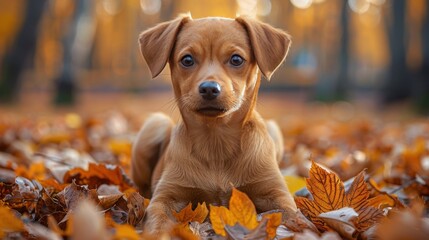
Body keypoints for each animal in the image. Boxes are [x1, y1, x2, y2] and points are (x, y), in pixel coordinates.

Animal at [131, 14, 314, 233]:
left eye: (236, 59)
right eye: (187, 60)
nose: (210, 88)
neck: (216, 140)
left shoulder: (276, 193)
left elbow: (292, 214)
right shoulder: (165, 196)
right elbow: (157, 218)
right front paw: (159, 232)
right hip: (154, 124)